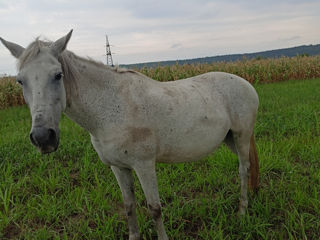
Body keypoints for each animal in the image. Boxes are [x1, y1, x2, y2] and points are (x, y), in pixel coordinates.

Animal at [0, 30, 260, 240]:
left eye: (58, 75)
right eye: (19, 81)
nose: (43, 138)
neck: (111, 107)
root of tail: (245, 82)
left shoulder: (144, 165)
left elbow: (154, 208)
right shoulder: (119, 167)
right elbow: (129, 205)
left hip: (241, 136)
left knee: (243, 169)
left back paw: (242, 212)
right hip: (229, 139)